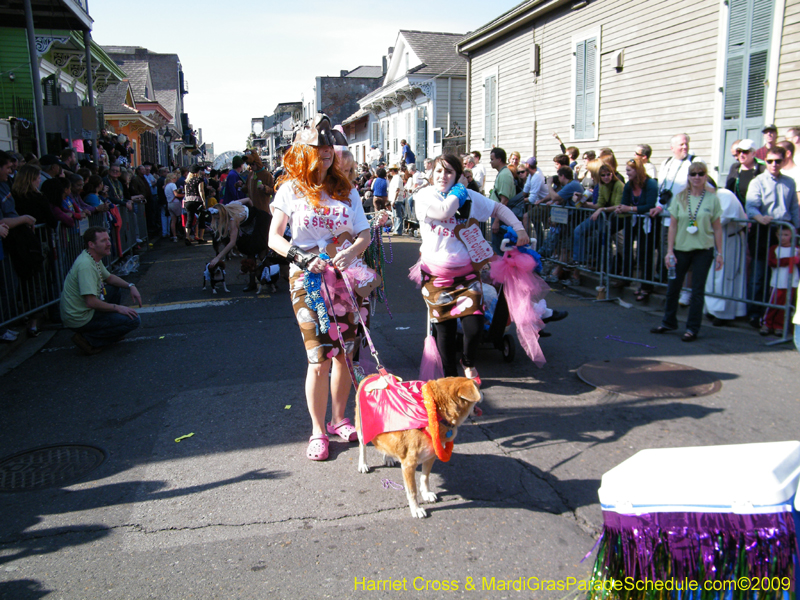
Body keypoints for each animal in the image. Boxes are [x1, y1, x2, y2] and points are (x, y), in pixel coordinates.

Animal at [356, 378, 482, 516]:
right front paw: (416, 509)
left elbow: (425, 478)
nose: (482, 392)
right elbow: (412, 491)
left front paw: (426, 493)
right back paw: (363, 464)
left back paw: (388, 458)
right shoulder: (408, 465)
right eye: (477, 386)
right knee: (362, 447)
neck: (437, 413)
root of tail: (371, 376)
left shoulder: (430, 457)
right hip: (362, 430)